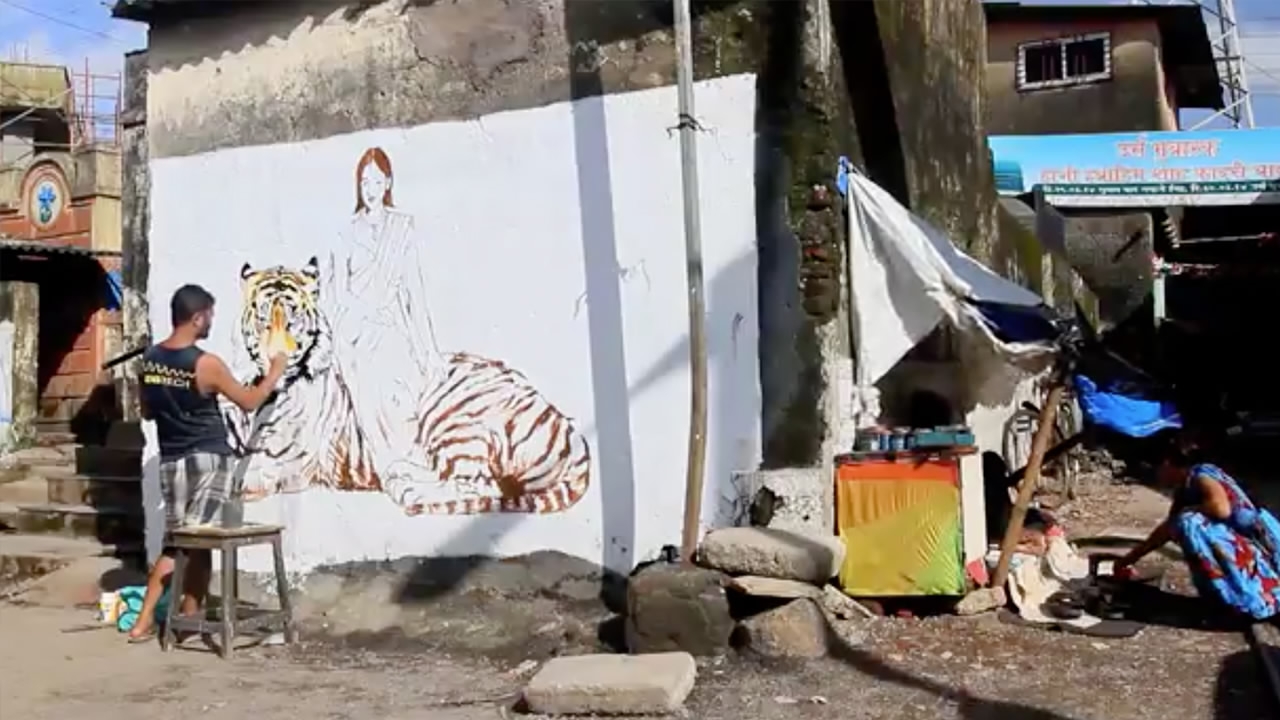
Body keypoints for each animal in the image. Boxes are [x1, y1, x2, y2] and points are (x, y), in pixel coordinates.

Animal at [225, 257, 591, 516]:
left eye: (293, 320)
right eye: (262, 318)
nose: (277, 356)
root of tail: (570, 428)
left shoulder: (296, 457)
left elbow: (253, 471)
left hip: (453, 416)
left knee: (481, 485)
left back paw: (410, 488)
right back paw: (400, 473)